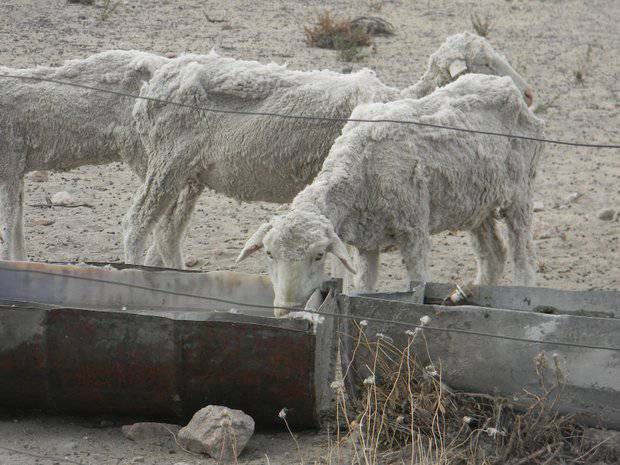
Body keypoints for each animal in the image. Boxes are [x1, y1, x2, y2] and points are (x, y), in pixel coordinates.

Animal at [126, 31, 532, 268]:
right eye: (486, 62)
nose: (528, 94)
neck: (397, 98)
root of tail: (153, 84)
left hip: (189, 175)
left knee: (166, 233)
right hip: (167, 165)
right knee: (137, 225)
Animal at [236, 74, 544, 314]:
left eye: (319, 255)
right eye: (269, 253)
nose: (286, 311)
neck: (361, 166)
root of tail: (508, 85)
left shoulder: (414, 232)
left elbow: (419, 284)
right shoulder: (366, 242)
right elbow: (363, 288)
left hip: (520, 192)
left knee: (524, 258)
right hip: (475, 203)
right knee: (493, 255)